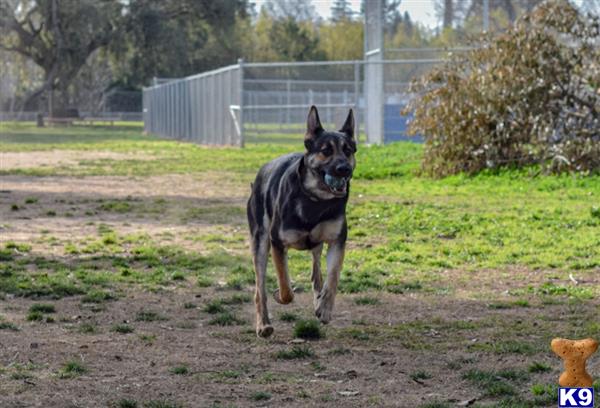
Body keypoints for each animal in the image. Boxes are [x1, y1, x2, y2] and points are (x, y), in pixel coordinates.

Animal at [247, 105, 356, 338]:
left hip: (315, 243)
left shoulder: (337, 242)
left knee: (316, 270)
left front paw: (324, 308)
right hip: (260, 242)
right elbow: (285, 287)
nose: (344, 169)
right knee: (260, 289)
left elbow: (333, 279)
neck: (314, 200)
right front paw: (281, 295)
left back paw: (318, 297)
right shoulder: (277, 243)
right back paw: (263, 324)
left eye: (348, 150)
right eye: (326, 151)